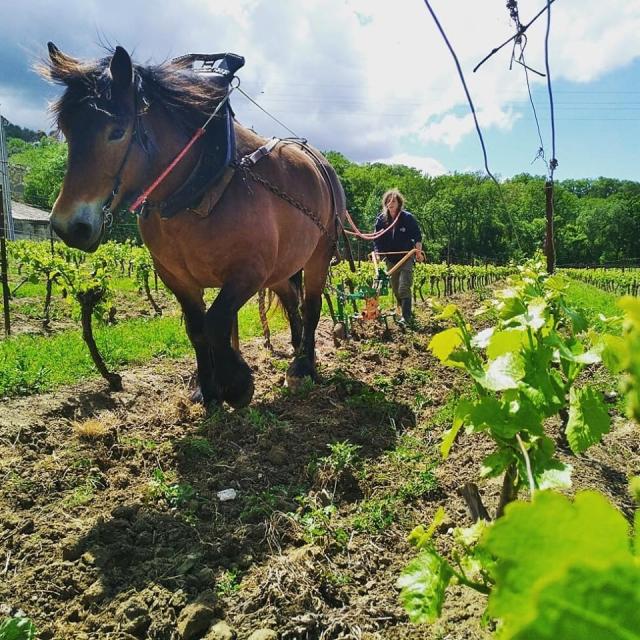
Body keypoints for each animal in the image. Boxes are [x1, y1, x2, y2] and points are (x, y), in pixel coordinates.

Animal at [42, 42, 348, 408]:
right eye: (66, 129)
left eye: (116, 132)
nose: (68, 226)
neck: (199, 188)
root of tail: (321, 165)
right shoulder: (175, 277)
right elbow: (196, 328)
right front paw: (208, 389)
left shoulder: (248, 271)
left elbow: (216, 322)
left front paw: (237, 384)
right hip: (282, 267)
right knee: (292, 305)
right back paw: (298, 354)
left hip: (318, 254)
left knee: (311, 306)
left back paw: (304, 366)